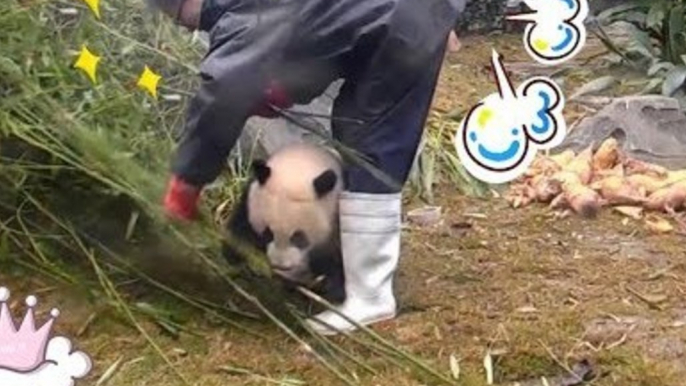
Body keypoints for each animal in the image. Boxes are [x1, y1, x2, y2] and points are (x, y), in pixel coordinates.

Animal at [223, 142, 346, 304]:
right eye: (268, 233)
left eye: (299, 237)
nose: (281, 266)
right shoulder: (249, 200)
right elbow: (239, 232)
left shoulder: (336, 218)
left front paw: (332, 288)